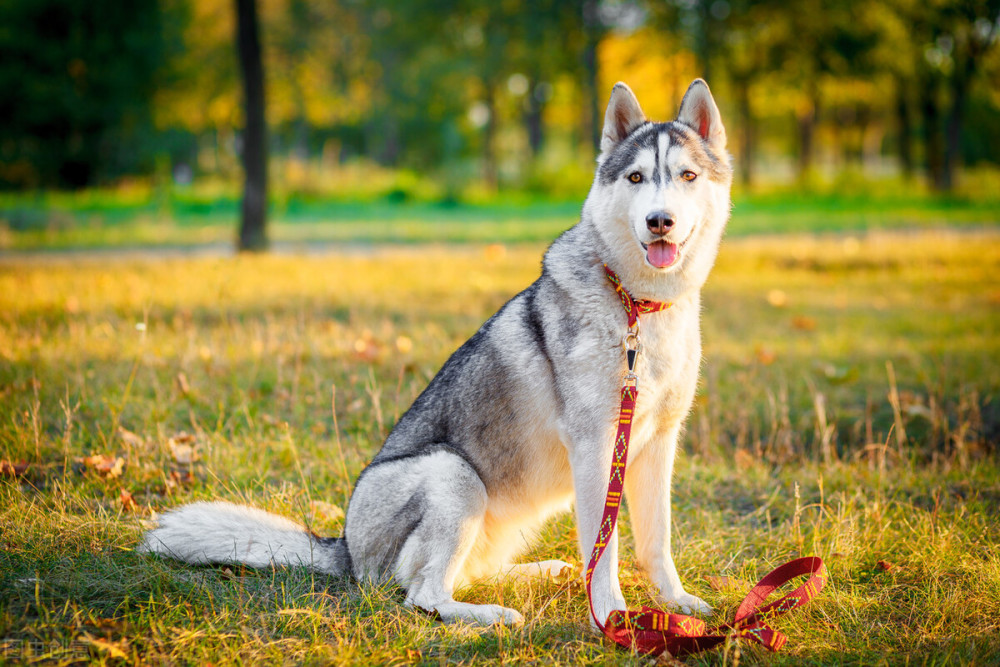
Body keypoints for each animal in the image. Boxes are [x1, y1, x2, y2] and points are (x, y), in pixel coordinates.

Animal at [141, 81, 732, 628]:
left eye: (687, 177)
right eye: (635, 178)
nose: (660, 221)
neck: (638, 307)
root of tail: (344, 550)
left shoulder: (657, 444)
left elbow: (656, 542)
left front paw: (677, 603)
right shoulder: (596, 448)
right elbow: (603, 551)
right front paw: (610, 619)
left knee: (466, 573)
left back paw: (538, 573)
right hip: (453, 473)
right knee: (423, 595)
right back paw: (490, 614)